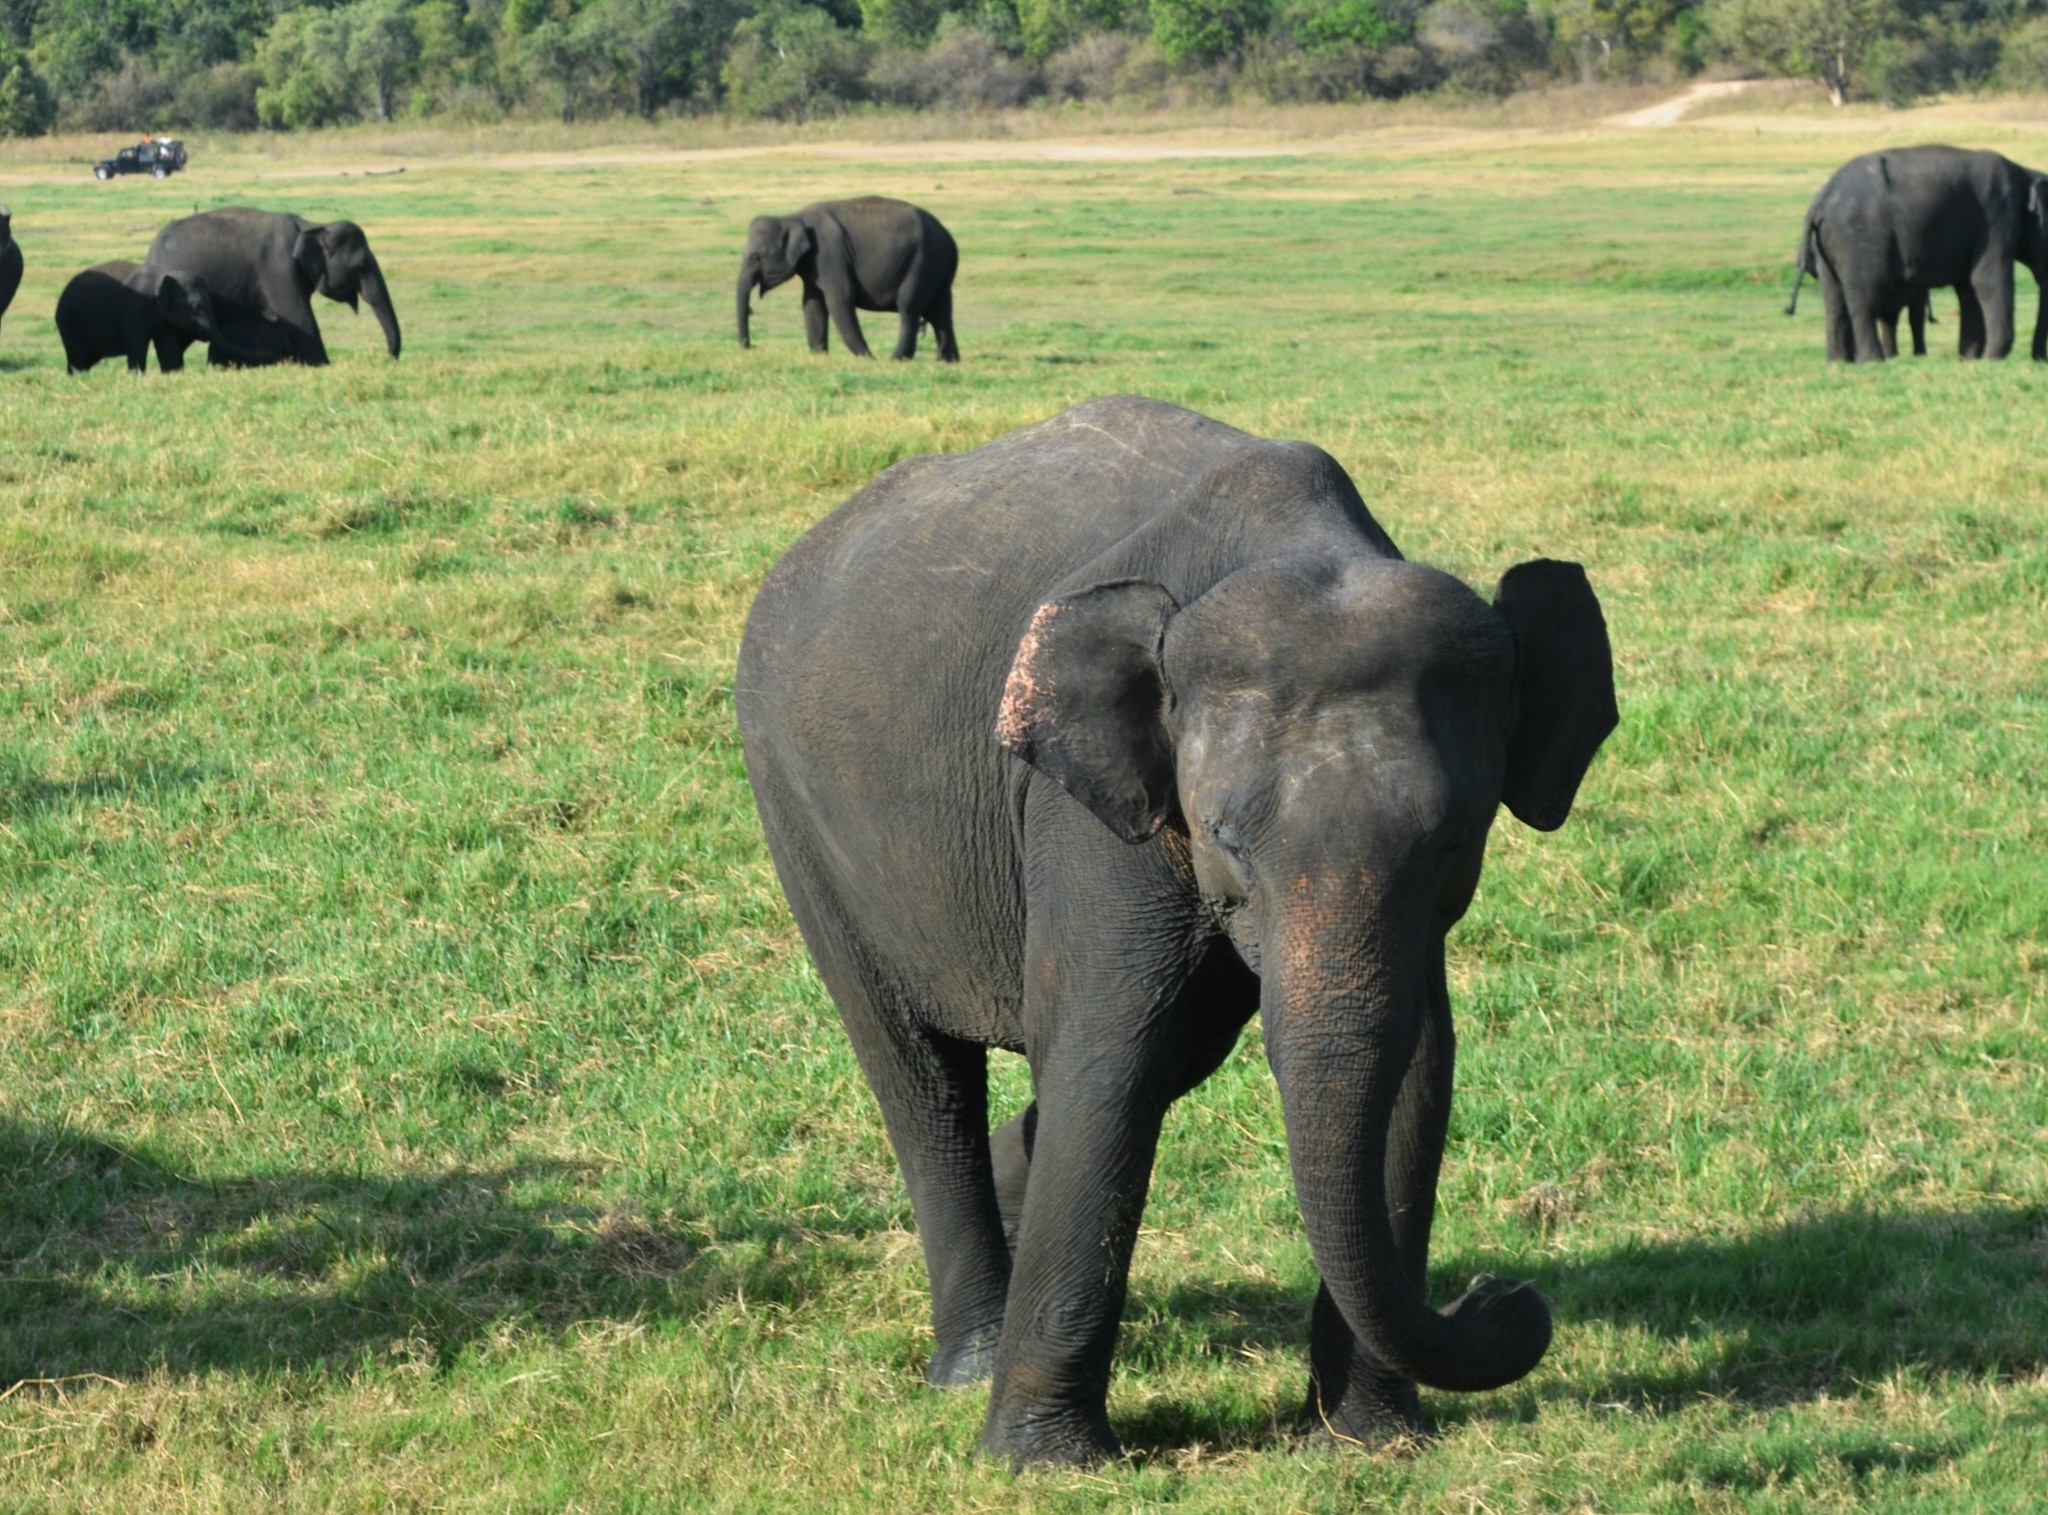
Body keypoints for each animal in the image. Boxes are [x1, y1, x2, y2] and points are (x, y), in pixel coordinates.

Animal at [54, 260, 262, 372]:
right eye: (196, 307)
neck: (165, 273)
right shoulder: (133, 309)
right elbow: (136, 343)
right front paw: (136, 377)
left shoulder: (164, 319)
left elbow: (167, 346)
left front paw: (173, 373)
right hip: (68, 325)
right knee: (77, 359)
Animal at [146, 206, 401, 366]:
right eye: (360, 266)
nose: (386, 358)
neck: (311, 226)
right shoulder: (279, 268)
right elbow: (301, 321)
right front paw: (324, 365)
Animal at [737, 196, 958, 362]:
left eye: (756, 257)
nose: (751, 347)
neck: (792, 217)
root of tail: (949, 238)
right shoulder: (813, 266)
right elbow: (812, 304)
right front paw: (819, 355)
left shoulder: (830, 255)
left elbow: (839, 301)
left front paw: (867, 358)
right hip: (938, 267)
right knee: (941, 311)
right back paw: (948, 361)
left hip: (923, 260)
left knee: (909, 306)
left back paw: (896, 359)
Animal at [737, 397, 1613, 1457]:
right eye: (1226, 834)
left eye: (1454, 839)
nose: (1501, 1293)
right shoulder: (1085, 812)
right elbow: (1109, 1052)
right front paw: (1043, 1464)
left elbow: (1416, 1070)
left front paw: (1368, 1445)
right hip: (795, 812)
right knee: (919, 1073)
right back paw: (970, 1363)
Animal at [1794, 146, 2048, 362]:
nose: (2039, 358)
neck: (2025, 173)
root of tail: (1819, 202)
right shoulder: (1997, 216)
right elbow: (1986, 280)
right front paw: (1991, 359)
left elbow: (1968, 289)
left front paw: (1968, 359)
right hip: (1858, 237)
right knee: (1864, 296)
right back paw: (1873, 361)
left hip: (1829, 245)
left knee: (1834, 300)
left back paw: (1838, 363)